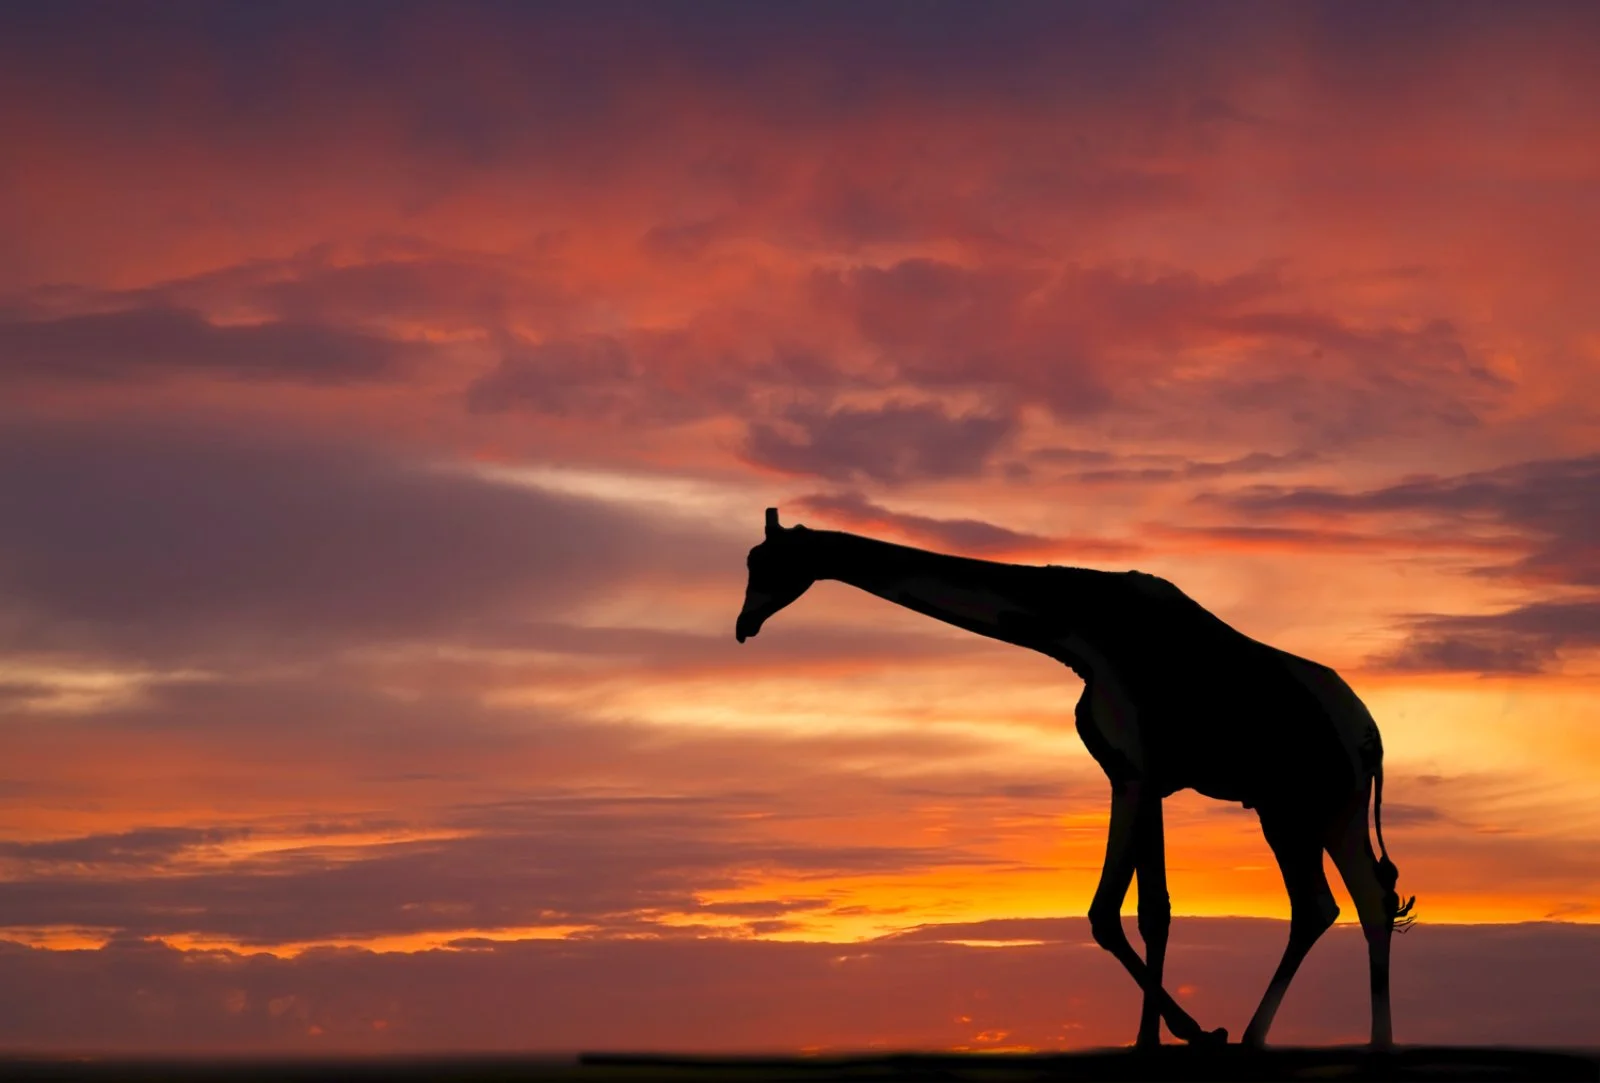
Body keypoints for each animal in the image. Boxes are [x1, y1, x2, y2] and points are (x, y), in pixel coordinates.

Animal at [736, 505, 1414, 1049]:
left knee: (1345, 902)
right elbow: (1154, 909)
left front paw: (1193, 1033)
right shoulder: (1137, 775)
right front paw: (1153, 1042)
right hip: (1302, 809)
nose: (744, 626)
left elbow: (1107, 913)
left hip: (1313, 805)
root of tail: (1372, 736)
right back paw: (1302, 1039)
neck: (1077, 633)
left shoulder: (1137, 772)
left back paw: (1319, 1041)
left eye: (765, 562)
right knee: (1343, 903)